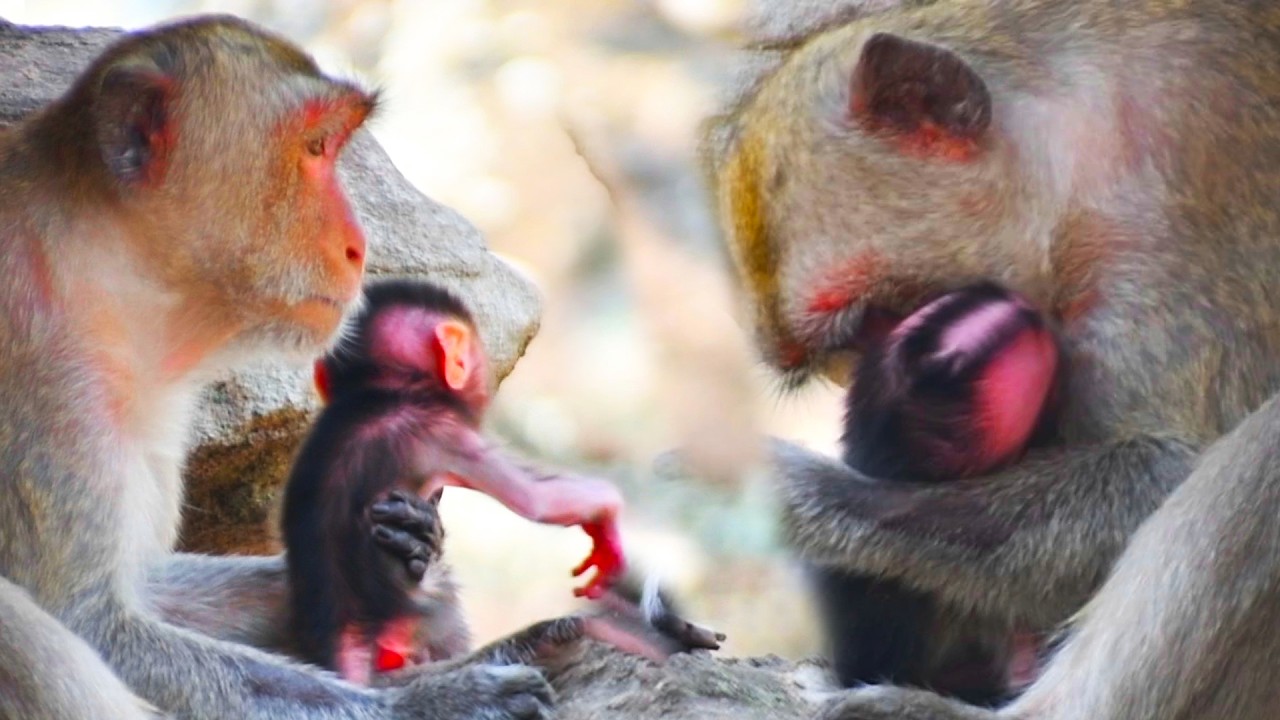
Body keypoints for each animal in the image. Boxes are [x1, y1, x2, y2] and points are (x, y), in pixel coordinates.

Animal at [0, 15, 561, 719]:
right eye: (316, 145)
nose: (358, 246)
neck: (105, 268)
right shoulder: (45, 371)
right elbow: (93, 623)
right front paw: (430, 700)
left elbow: (147, 587)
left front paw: (410, 570)